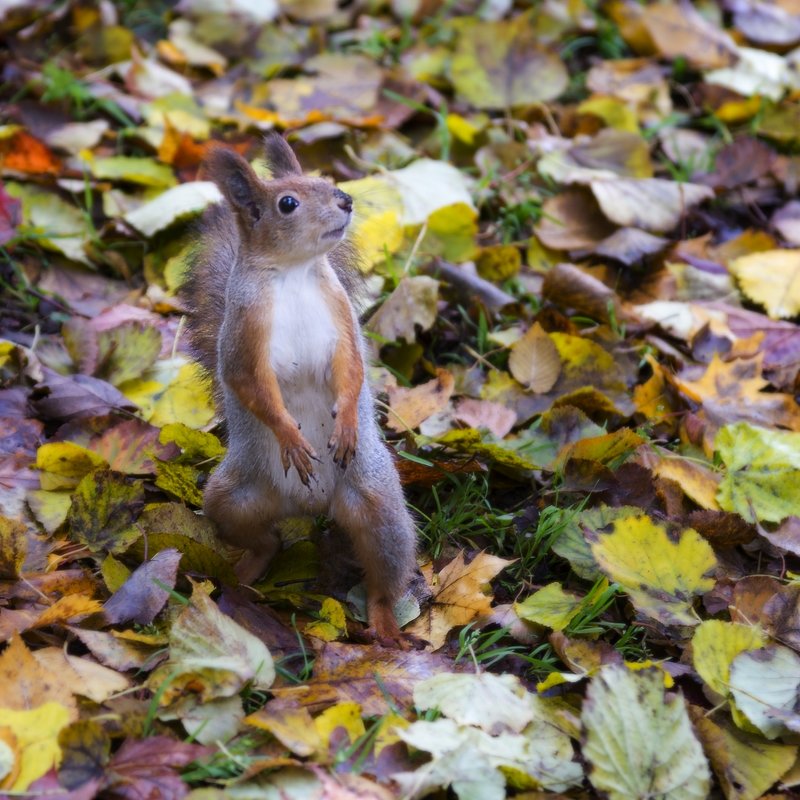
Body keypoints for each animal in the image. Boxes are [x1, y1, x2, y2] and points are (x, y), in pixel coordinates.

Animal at [182, 133, 418, 644]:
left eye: (323, 180)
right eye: (286, 203)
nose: (346, 200)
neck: (295, 273)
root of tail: (312, 506)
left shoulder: (343, 320)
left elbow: (352, 371)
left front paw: (346, 422)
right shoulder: (243, 334)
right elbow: (252, 386)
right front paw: (290, 436)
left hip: (376, 504)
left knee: (384, 571)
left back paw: (384, 621)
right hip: (234, 496)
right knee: (261, 537)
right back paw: (248, 570)